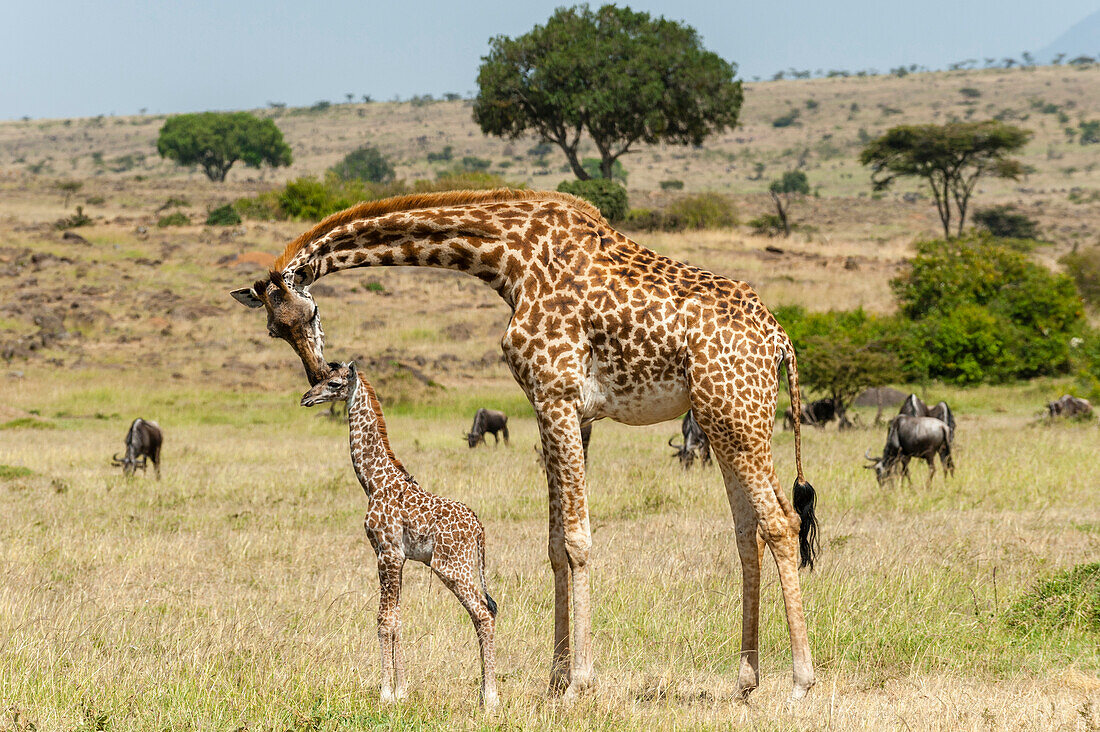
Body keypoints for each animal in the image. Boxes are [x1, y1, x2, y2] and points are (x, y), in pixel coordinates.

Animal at [301, 361, 499, 708]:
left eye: (334, 383)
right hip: (459, 567)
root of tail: (479, 529)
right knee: (483, 614)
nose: (306, 397)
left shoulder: (387, 552)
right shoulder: (400, 557)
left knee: (483, 614)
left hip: (451, 567)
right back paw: (482, 694)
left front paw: (386, 693)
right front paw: (402, 690)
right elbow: (398, 618)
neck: (373, 481)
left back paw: (490, 699)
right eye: (323, 379)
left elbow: (384, 621)